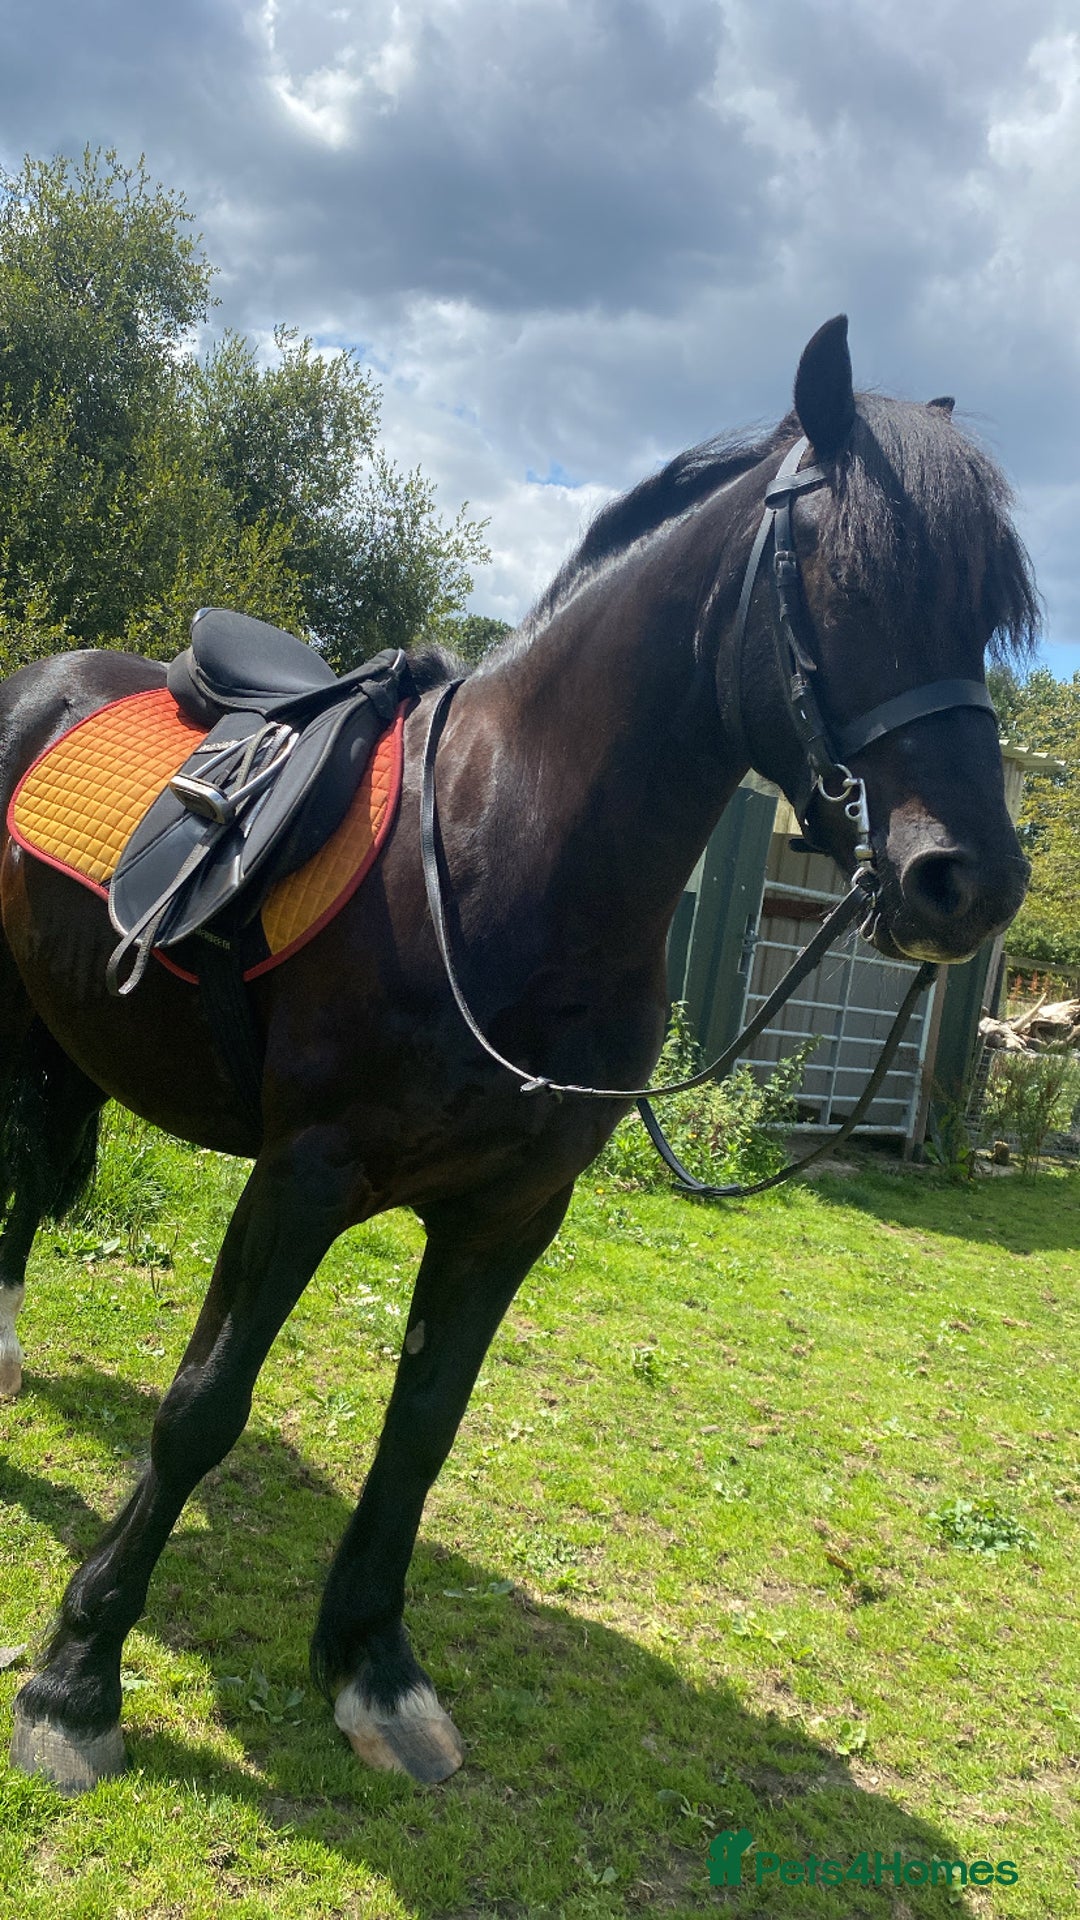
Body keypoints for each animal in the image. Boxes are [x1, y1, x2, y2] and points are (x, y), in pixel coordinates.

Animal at [0, 317, 1036, 1792]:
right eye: (847, 579)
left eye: (990, 614)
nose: (972, 883)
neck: (506, 854)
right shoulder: (302, 1178)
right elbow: (203, 1407)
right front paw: (77, 1682)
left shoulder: (511, 1213)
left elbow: (423, 1433)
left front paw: (373, 1670)